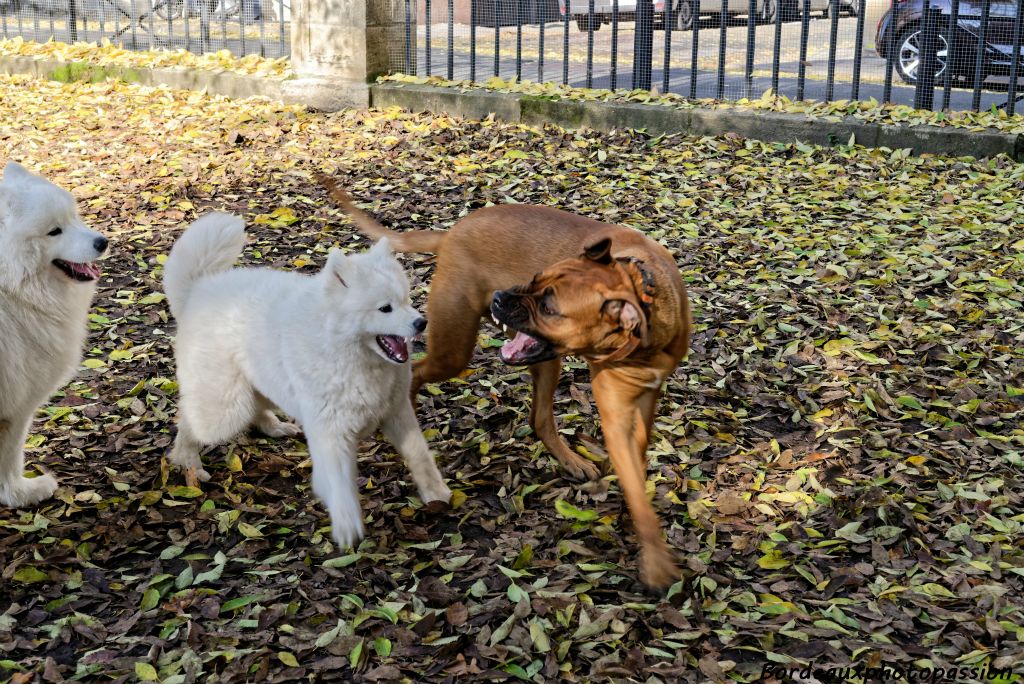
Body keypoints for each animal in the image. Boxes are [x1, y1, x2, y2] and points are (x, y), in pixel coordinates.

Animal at [0, 161, 108, 507]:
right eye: (54, 231)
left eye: (73, 218)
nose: (102, 242)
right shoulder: (16, 407)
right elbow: (10, 459)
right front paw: (20, 494)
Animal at [163, 214, 452, 548]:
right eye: (385, 308)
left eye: (406, 300)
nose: (421, 322)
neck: (345, 350)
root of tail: (198, 289)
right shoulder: (330, 432)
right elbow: (340, 485)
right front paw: (347, 525)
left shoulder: (396, 412)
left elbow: (420, 455)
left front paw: (436, 492)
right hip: (225, 410)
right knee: (190, 420)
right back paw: (188, 462)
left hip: (263, 383)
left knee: (255, 407)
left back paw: (273, 426)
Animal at [315, 175, 692, 589]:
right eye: (534, 279)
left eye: (549, 306)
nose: (500, 297)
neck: (645, 303)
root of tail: (453, 232)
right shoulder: (616, 414)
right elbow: (637, 490)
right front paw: (656, 561)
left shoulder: (645, 398)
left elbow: (637, 464)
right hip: (455, 348)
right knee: (418, 372)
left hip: (541, 360)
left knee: (539, 419)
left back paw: (570, 460)